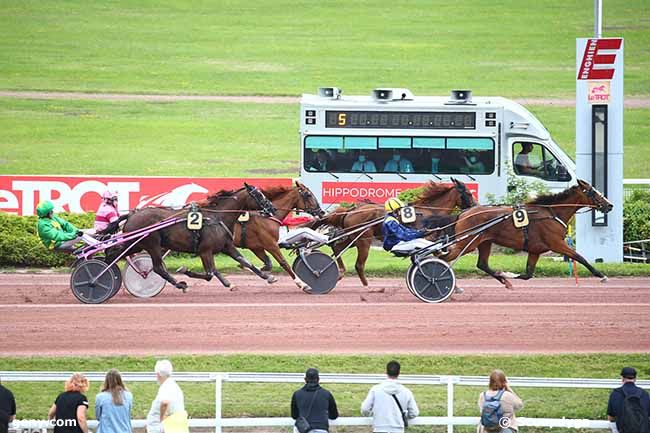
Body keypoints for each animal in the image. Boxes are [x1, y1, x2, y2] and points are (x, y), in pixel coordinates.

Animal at [105, 183, 276, 290]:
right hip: (151, 244)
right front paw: (185, 270)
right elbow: (209, 274)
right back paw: (180, 285)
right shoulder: (205, 250)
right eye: (259, 195)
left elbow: (245, 262)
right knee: (158, 268)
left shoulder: (227, 246)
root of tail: (132, 215)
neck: (217, 217)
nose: (272, 208)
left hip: (136, 244)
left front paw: (268, 277)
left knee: (114, 254)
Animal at [312, 177, 474, 286]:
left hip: (352, 238)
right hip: (363, 240)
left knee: (337, 247)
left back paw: (339, 273)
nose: (474, 206)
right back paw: (366, 285)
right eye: (469, 193)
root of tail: (351, 210)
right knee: (358, 264)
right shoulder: (427, 238)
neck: (429, 210)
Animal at [436, 177, 612, 288]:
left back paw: (503, 281)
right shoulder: (556, 243)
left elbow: (527, 274)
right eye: (593, 191)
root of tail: (464, 213)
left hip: (484, 242)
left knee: (482, 264)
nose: (610, 205)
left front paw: (507, 274)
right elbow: (579, 257)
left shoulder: (535, 250)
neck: (552, 213)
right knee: (444, 258)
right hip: (467, 242)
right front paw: (602, 275)